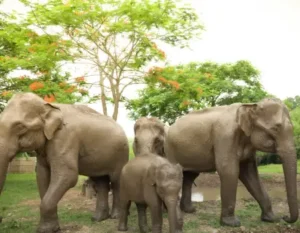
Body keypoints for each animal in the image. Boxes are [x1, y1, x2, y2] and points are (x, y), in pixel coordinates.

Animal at [0, 92, 128, 232]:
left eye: (20, 127)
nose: (1, 218)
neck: (48, 105)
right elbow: (42, 175)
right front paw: (54, 228)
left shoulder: (65, 138)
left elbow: (68, 175)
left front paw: (45, 230)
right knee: (101, 182)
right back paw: (98, 218)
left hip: (121, 154)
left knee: (116, 181)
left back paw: (115, 216)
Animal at [164, 97, 298, 227]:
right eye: (276, 128)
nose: (285, 217)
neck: (251, 105)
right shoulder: (225, 135)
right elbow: (229, 171)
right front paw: (231, 223)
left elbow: (250, 173)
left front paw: (271, 218)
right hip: (168, 151)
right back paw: (168, 210)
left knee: (190, 176)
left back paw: (190, 210)